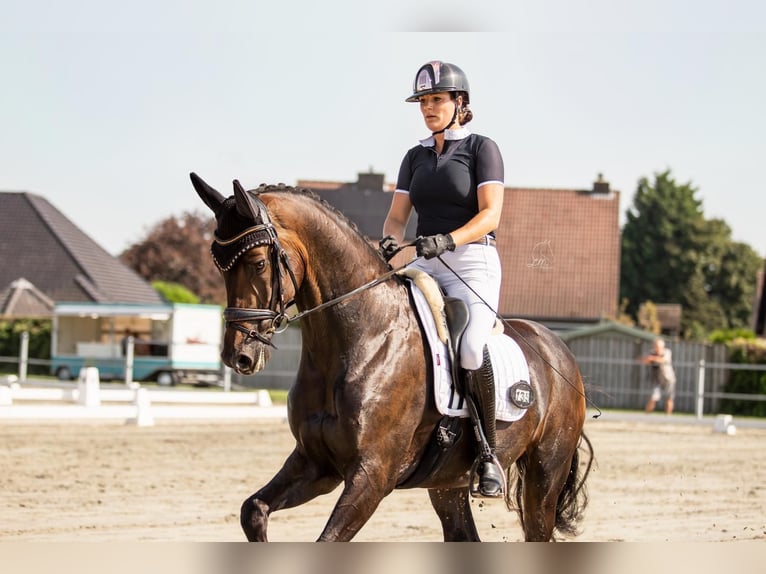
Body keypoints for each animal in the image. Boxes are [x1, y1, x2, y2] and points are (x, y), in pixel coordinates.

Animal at [190, 173, 592, 544]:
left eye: (258, 263)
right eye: (219, 265)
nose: (238, 355)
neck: (361, 338)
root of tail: (559, 351)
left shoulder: (372, 475)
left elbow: (327, 539)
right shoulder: (315, 463)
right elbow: (252, 510)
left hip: (544, 475)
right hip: (447, 484)